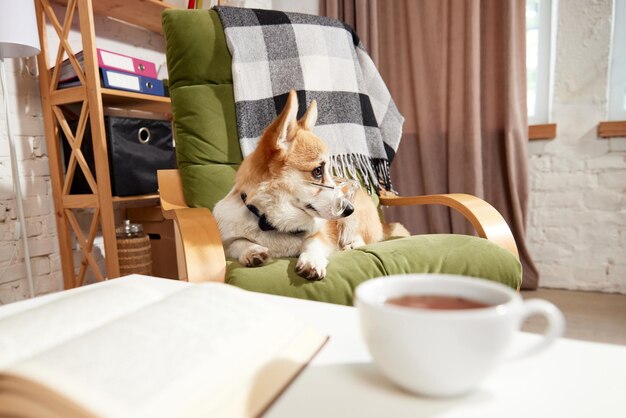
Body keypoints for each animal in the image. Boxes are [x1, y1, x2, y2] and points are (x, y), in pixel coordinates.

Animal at [213, 91, 410, 280]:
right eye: (317, 171)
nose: (349, 208)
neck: (272, 222)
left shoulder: (320, 236)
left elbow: (312, 244)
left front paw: (311, 262)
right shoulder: (226, 242)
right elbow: (238, 242)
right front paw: (253, 251)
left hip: (353, 220)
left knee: (362, 237)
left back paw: (351, 245)